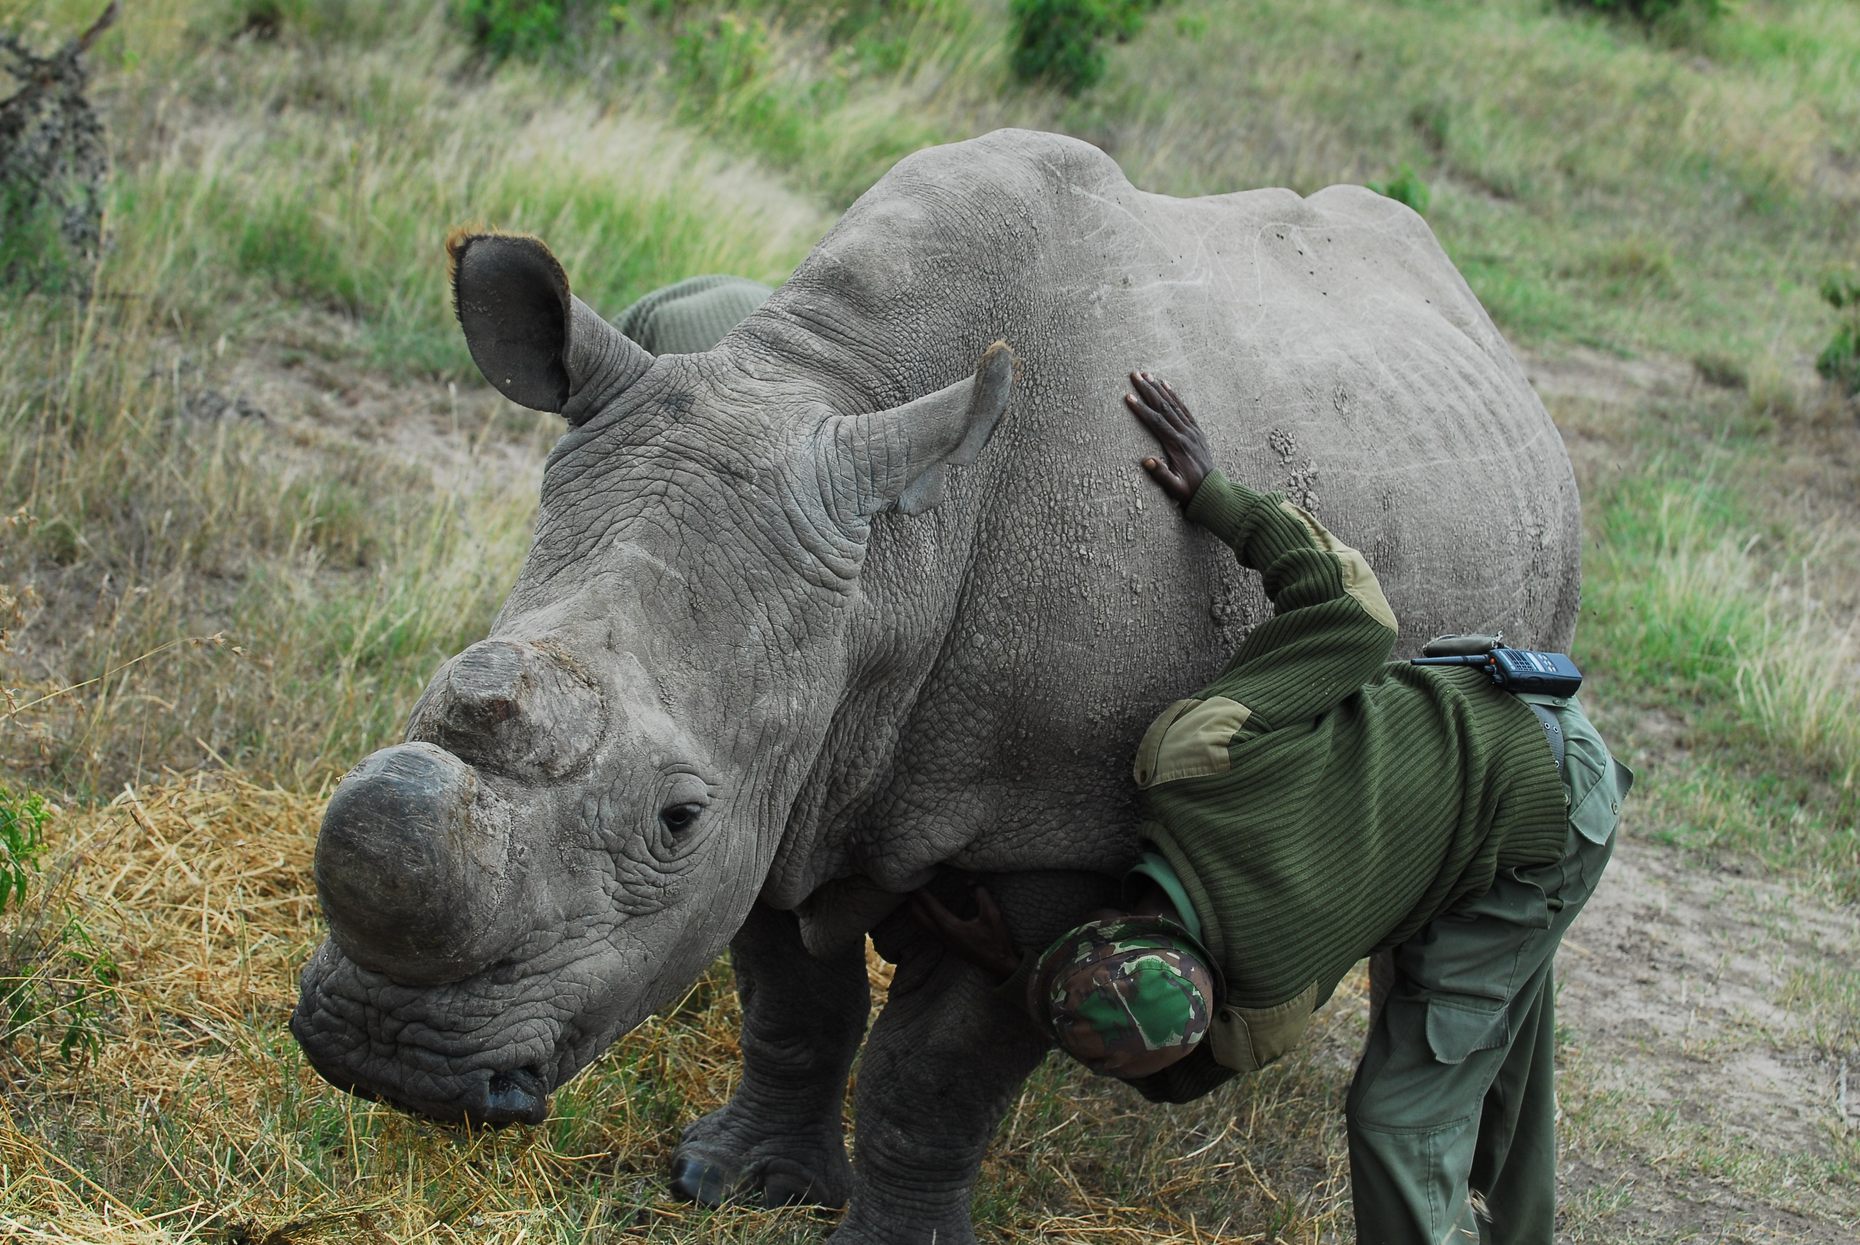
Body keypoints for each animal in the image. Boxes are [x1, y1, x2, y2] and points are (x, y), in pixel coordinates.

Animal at [293, 123, 1584, 1235]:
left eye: (676, 817)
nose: (387, 1059)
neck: (893, 564)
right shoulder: (793, 761)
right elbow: (797, 1006)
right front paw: (738, 1185)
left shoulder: (1050, 830)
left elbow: (935, 1074)